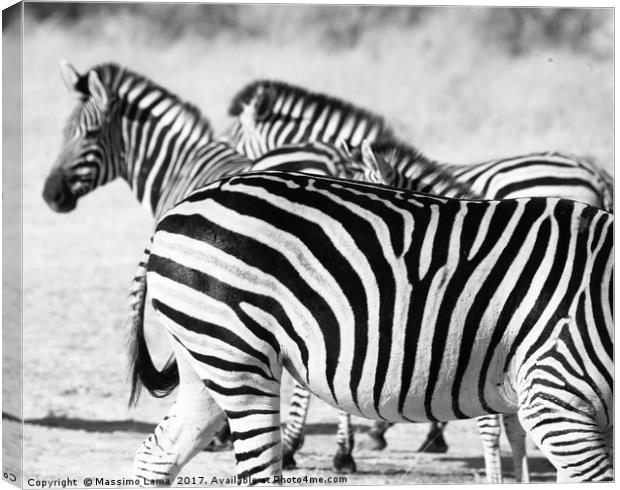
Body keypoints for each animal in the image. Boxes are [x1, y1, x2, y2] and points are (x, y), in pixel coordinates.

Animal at [128, 169, 612, 486]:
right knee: (256, 473)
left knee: (159, 451)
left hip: (206, 355)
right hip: (236, 354)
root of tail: (178, 209)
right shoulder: (556, 402)